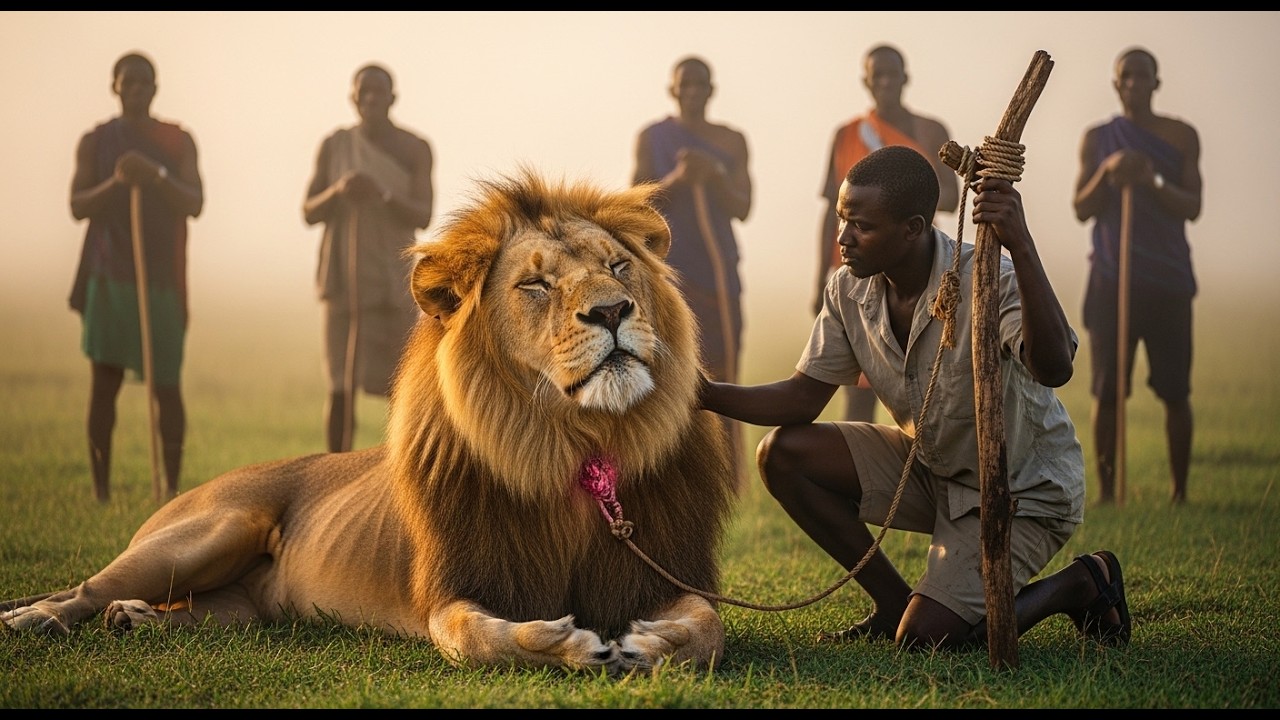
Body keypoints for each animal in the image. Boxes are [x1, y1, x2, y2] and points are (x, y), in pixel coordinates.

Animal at [2, 168, 737, 675]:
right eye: (536, 285)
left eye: (619, 267)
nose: (613, 310)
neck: (576, 445)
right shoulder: (452, 590)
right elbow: (478, 639)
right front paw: (565, 642)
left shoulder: (666, 571)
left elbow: (709, 628)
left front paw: (651, 642)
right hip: (208, 532)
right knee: (85, 586)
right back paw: (38, 618)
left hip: (237, 608)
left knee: (190, 614)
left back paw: (133, 622)